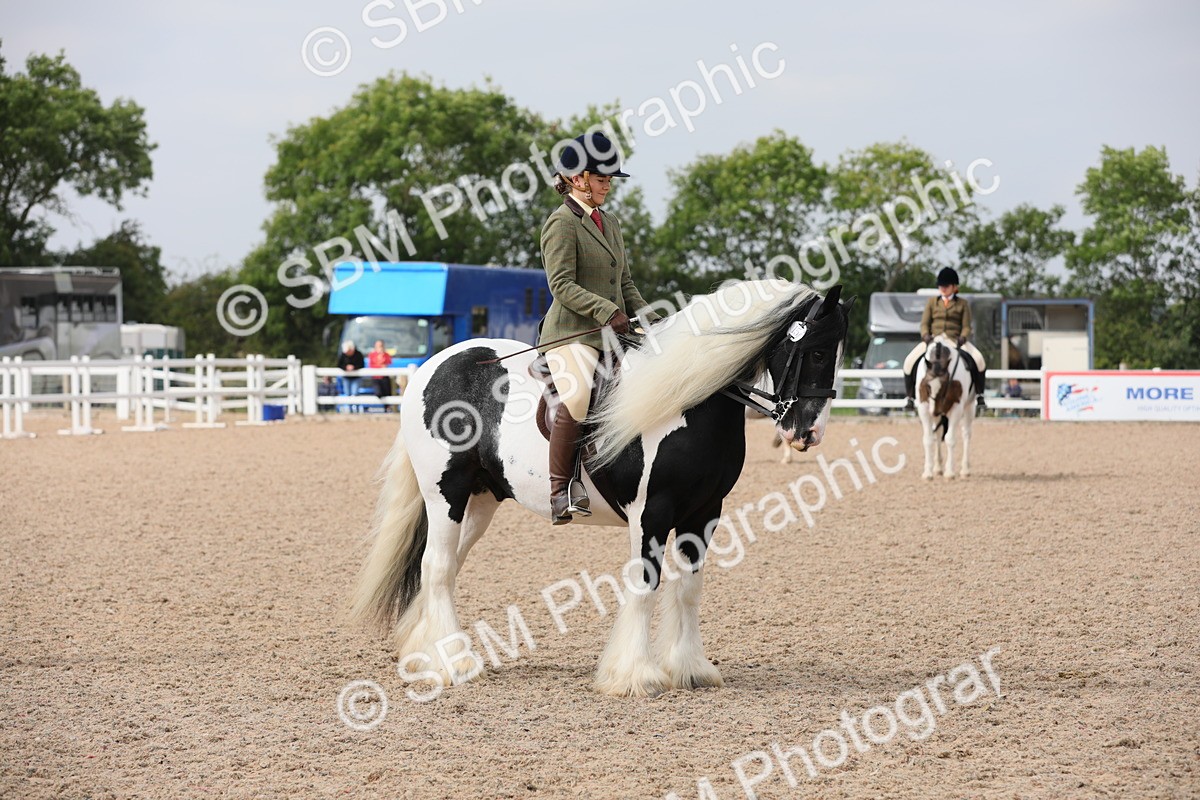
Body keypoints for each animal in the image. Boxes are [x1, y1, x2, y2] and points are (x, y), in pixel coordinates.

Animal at [350, 279, 855, 697]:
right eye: (815, 352)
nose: (808, 433)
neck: (688, 401)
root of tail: (433, 366)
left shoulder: (705, 511)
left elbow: (689, 588)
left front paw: (690, 670)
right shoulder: (652, 512)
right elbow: (646, 584)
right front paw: (634, 675)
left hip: (480, 500)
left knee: (447, 567)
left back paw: (427, 654)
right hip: (446, 494)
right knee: (436, 567)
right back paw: (454, 664)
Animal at [914, 334, 975, 480]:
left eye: (944, 386)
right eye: (927, 386)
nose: (935, 411)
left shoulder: (957, 408)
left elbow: (950, 439)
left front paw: (950, 472)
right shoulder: (924, 408)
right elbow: (928, 439)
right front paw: (928, 473)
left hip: (969, 406)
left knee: (966, 433)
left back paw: (965, 470)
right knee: (938, 434)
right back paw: (937, 468)